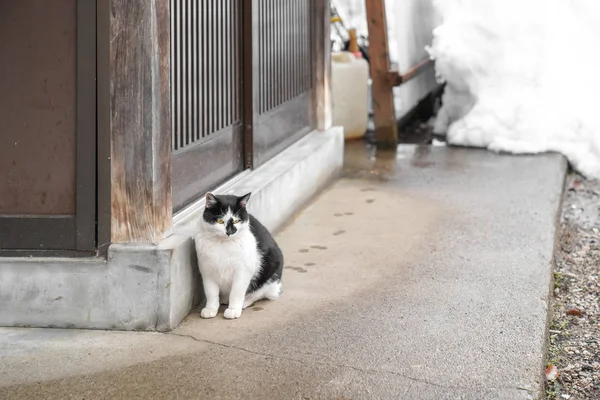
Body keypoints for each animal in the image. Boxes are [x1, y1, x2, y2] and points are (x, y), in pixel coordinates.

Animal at [195, 192, 284, 320]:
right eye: (220, 221)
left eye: (237, 221)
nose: (230, 232)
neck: (223, 244)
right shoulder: (207, 270)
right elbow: (211, 292)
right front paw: (211, 309)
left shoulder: (243, 271)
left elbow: (236, 292)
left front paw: (233, 310)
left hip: (271, 269)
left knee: (261, 292)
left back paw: (244, 302)